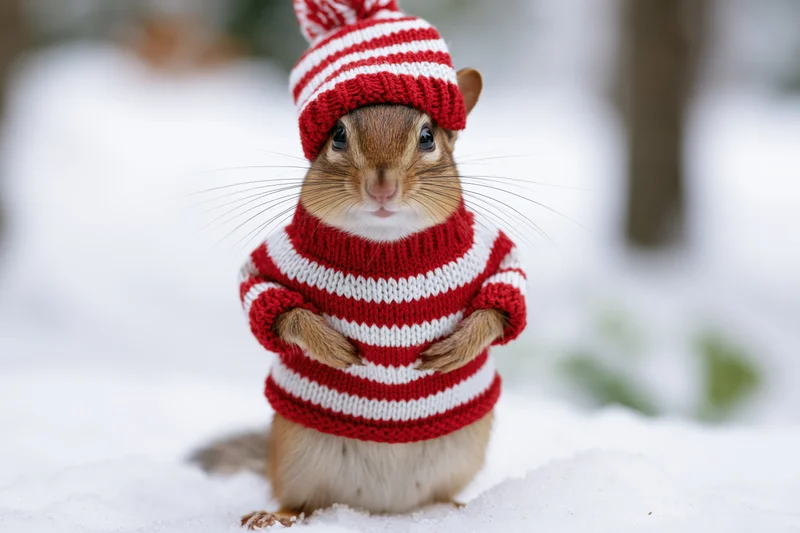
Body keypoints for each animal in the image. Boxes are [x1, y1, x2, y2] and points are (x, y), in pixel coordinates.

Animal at [191, 1, 528, 529]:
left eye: (427, 136)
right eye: (338, 135)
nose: (382, 186)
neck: (385, 245)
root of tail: (378, 509)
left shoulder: (489, 250)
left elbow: (506, 294)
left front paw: (459, 347)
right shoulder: (273, 260)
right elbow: (265, 299)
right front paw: (327, 345)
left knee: (438, 496)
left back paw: (460, 508)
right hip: (296, 454)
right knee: (299, 501)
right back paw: (272, 515)